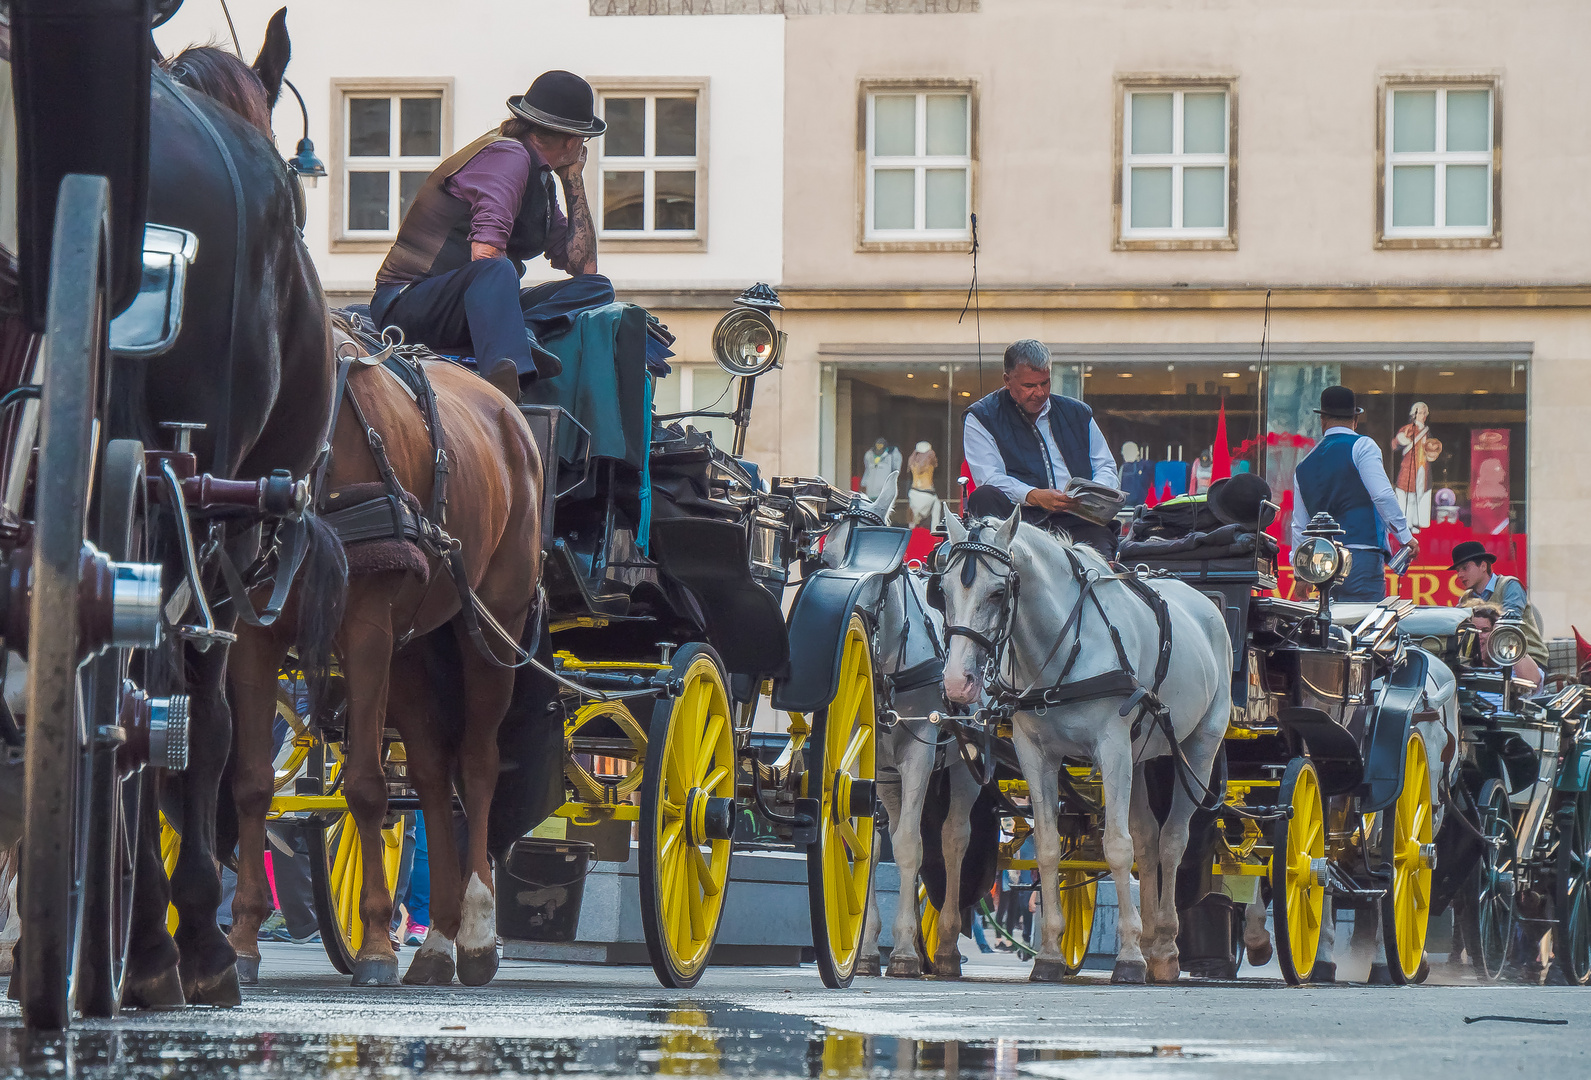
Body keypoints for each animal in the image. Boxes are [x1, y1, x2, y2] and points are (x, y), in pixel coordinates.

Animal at [224, 322, 547, 986]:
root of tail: (505, 405)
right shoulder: (253, 635)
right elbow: (251, 784)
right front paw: (241, 942)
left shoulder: (366, 628)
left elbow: (368, 788)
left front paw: (374, 946)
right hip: (414, 649)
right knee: (430, 775)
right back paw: (438, 943)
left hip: (492, 626)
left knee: (476, 766)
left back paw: (477, 932)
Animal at [820, 480, 980, 979]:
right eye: (824, 558)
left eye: (884, 572)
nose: (848, 624)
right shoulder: (870, 764)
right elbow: (871, 844)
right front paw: (868, 948)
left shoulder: (919, 755)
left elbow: (910, 846)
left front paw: (906, 951)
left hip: (965, 764)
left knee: (952, 839)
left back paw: (943, 947)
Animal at [935, 512, 1234, 986]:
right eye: (942, 591)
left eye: (998, 592)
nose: (957, 684)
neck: (1062, 647)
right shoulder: (1035, 752)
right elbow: (1049, 848)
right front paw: (1050, 955)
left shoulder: (1111, 747)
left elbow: (1116, 847)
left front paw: (1128, 958)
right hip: (1139, 757)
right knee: (1148, 841)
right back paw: (1151, 940)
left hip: (1198, 747)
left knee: (1172, 840)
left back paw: (1164, 949)